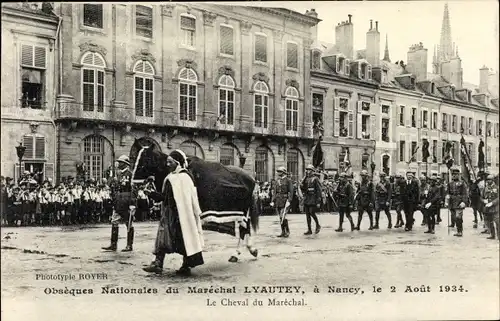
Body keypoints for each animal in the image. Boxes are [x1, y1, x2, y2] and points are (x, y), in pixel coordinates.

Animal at [129, 141, 262, 262]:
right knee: (245, 228)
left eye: (146, 160)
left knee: (244, 229)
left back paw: (240, 252)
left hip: (244, 211)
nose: (133, 183)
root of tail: (251, 179)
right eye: (133, 158)